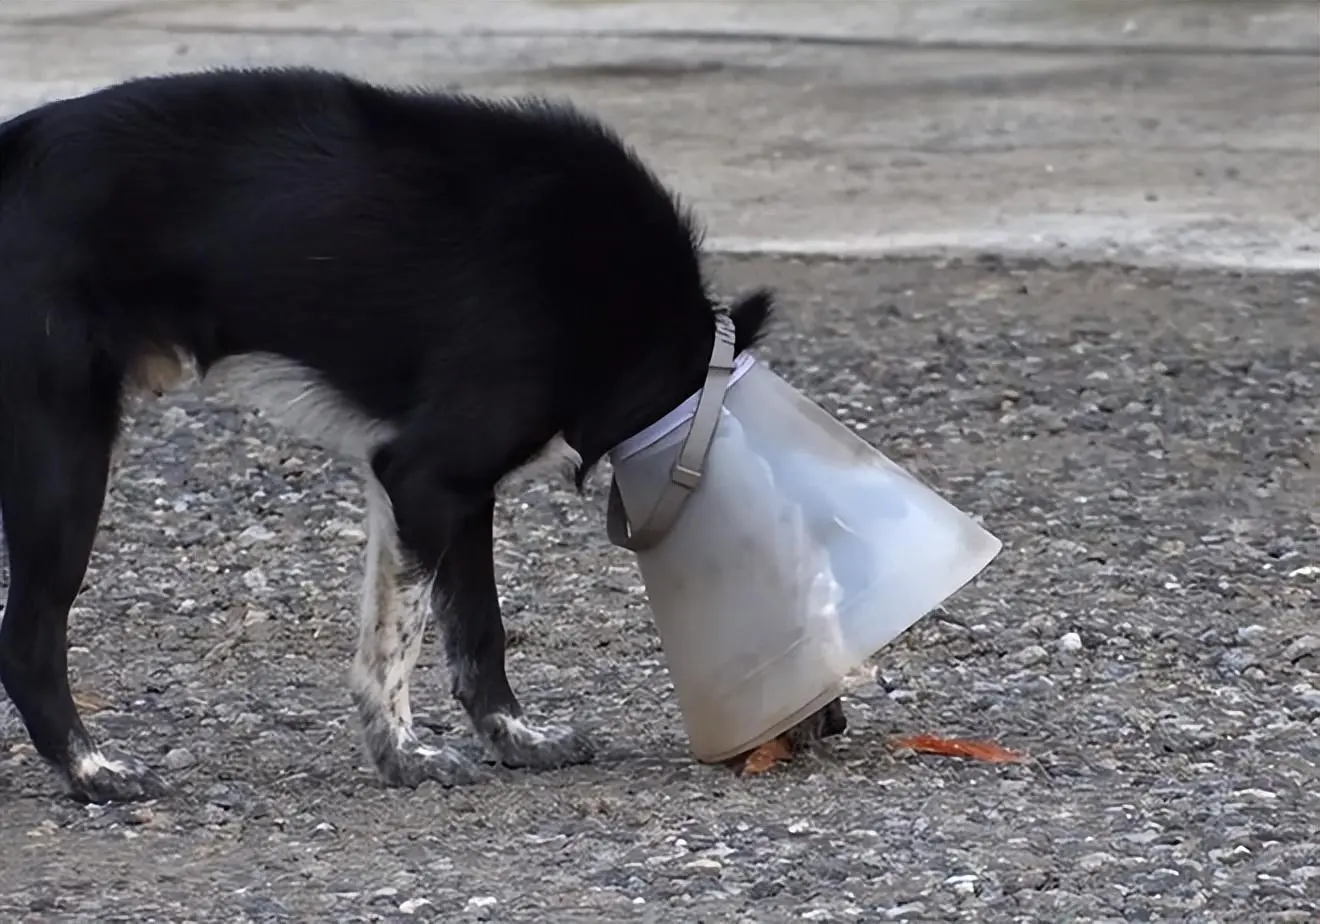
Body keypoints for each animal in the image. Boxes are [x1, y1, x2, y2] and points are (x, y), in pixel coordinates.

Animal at [0, 66, 776, 802]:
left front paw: (515, 738)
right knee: (28, 641)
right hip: (64, 459)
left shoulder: (457, 495)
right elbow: (398, 642)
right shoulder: (425, 477)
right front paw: (406, 755)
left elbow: (478, 631)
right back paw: (92, 771)